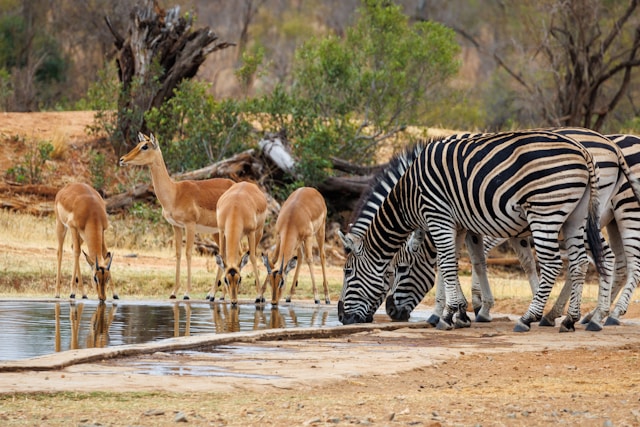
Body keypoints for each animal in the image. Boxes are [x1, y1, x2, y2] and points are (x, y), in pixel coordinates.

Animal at [340, 130, 604, 334]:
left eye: (348, 272)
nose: (342, 317)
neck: (410, 193)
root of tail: (582, 150)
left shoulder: (439, 216)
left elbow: (447, 265)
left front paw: (448, 315)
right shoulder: (459, 224)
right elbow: (459, 263)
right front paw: (458, 312)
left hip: (546, 212)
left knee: (556, 264)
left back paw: (531, 318)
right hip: (575, 216)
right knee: (580, 263)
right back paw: (569, 319)